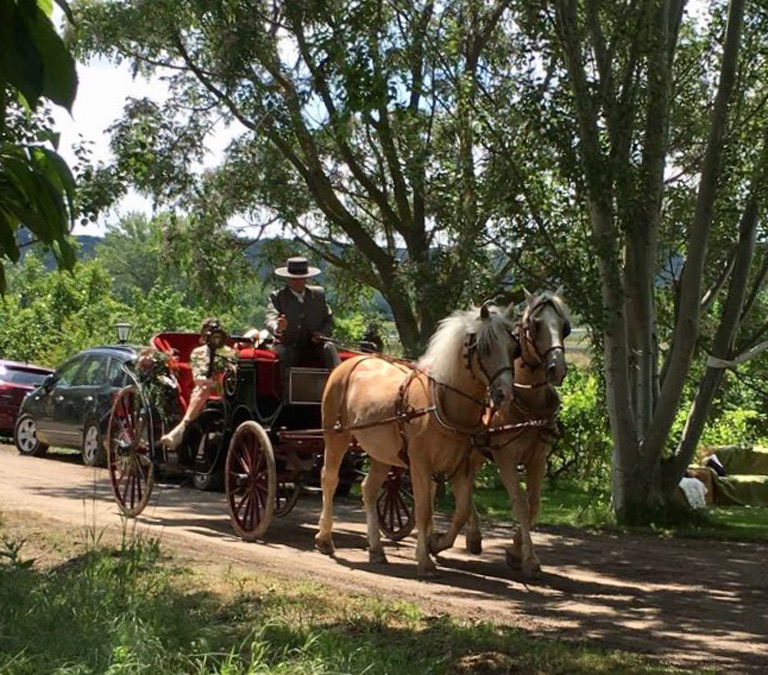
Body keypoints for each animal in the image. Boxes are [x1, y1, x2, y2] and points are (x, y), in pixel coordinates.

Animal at [316, 304, 520, 576]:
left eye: (513, 348)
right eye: (486, 347)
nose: (505, 394)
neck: (442, 401)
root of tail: (350, 362)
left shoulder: (462, 467)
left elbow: (461, 511)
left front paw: (437, 544)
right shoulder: (420, 464)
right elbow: (423, 510)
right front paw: (424, 559)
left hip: (381, 453)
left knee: (369, 489)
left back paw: (376, 549)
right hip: (336, 435)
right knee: (329, 479)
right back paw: (325, 538)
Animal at [432, 288, 568, 580]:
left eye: (565, 327)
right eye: (535, 324)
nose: (557, 369)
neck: (527, 405)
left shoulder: (538, 458)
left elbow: (534, 504)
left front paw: (516, 551)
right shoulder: (505, 457)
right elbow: (519, 503)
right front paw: (529, 559)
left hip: (473, 453)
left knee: (466, 490)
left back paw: (473, 536)